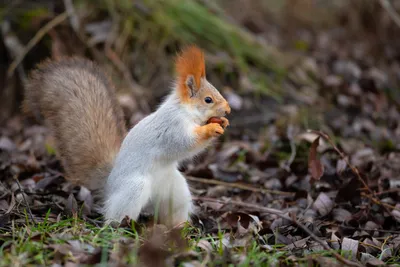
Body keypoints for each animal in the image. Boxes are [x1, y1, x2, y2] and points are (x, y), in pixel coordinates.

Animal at [23, 46, 231, 228]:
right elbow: (185, 143)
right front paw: (211, 128)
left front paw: (222, 122)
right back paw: (123, 227)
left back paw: (180, 226)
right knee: (115, 215)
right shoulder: (172, 127)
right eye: (208, 100)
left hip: (175, 191)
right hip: (133, 188)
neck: (186, 111)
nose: (228, 110)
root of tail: (109, 183)